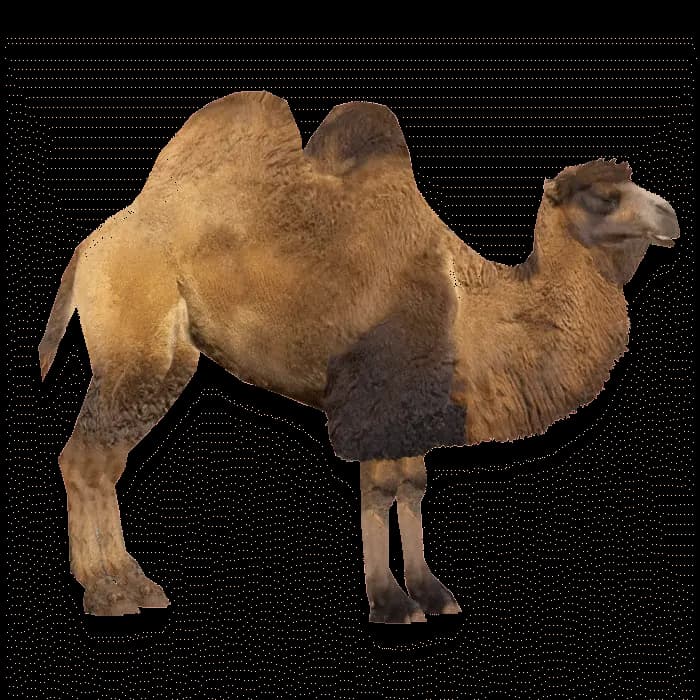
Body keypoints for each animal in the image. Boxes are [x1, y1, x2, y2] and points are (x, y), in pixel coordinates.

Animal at [39, 91, 681, 623]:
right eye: (606, 197)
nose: (671, 216)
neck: (470, 310)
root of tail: (90, 246)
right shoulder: (373, 397)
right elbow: (379, 491)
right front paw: (391, 603)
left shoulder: (414, 406)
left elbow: (413, 487)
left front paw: (432, 594)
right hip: (138, 347)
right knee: (87, 458)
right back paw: (113, 592)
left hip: (160, 356)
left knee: (103, 459)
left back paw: (125, 584)